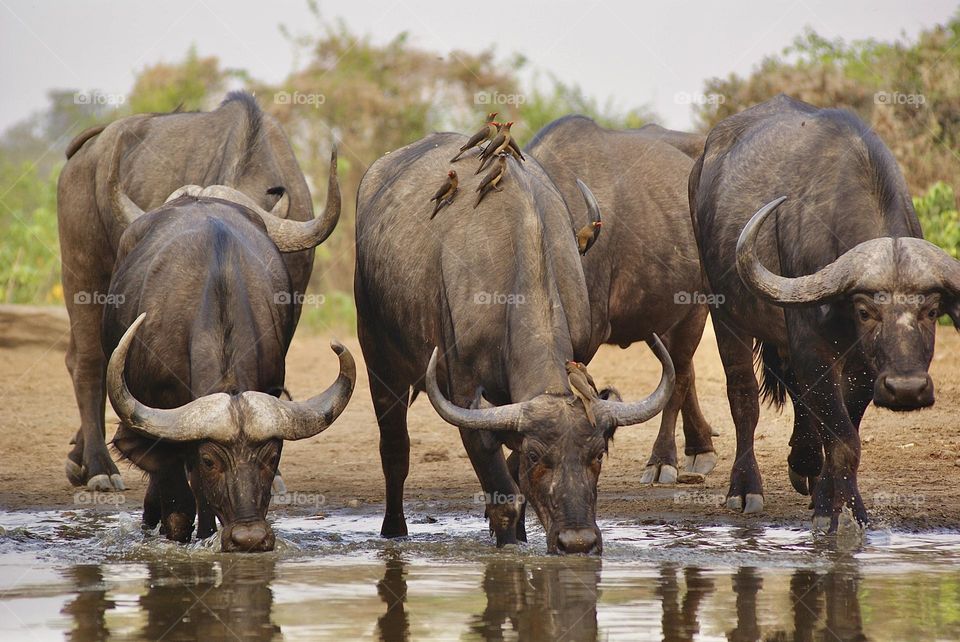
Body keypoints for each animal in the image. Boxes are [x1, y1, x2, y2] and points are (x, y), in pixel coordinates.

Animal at [354, 130, 676, 552]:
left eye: (598, 454)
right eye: (537, 457)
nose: (577, 542)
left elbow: (515, 477)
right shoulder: (464, 395)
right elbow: (504, 496)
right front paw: (509, 543)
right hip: (378, 357)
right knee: (394, 449)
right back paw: (394, 531)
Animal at [524, 116, 720, 484]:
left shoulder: (587, 340)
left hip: (694, 309)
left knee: (680, 377)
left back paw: (663, 460)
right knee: (685, 374)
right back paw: (700, 448)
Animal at [688, 94, 960, 524]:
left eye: (932, 311)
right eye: (865, 311)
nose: (906, 389)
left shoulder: (863, 364)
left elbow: (843, 426)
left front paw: (833, 498)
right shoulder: (811, 343)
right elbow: (843, 437)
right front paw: (839, 511)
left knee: (798, 395)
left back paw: (806, 468)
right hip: (725, 313)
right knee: (744, 396)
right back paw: (746, 487)